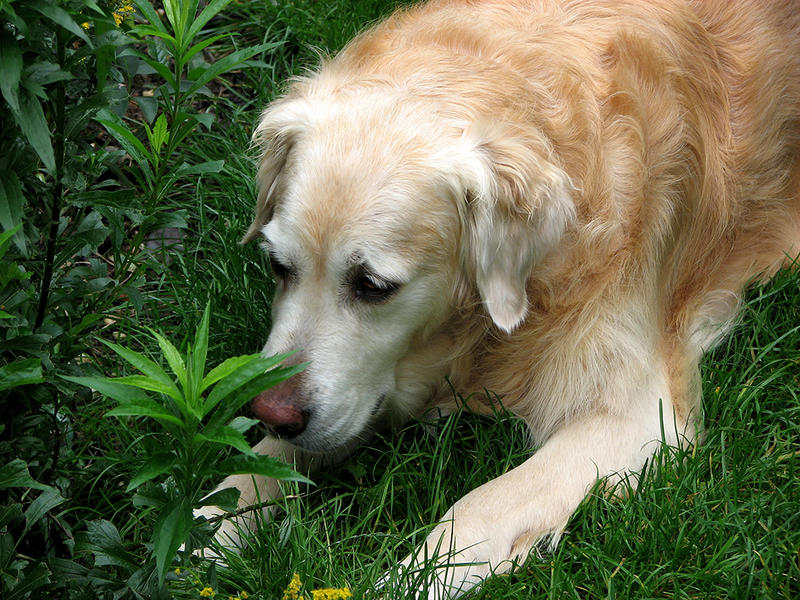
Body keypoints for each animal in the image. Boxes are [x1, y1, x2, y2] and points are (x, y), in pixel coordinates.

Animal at [200, 1, 800, 596]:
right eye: (278, 265)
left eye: (372, 285)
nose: (271, 413)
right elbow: (263, 466)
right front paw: (207, 525)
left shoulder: (640, 419)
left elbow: (478, 507)